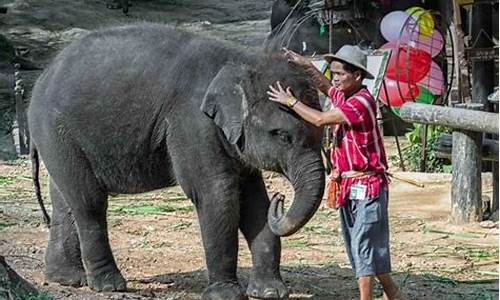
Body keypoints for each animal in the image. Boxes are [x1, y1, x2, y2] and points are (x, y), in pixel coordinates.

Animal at [28, 23, 324, 300]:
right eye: (283, 135)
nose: (281, 198)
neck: (241, 60)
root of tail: (42, 77)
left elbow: (254, 200)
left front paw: (270, 292)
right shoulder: (191, 122)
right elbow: (216, 194)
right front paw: (226, 295)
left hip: (59, 139)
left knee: (64, 199)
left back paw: (67, 278)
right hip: (56, 130)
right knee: (88, 201)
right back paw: (108, 284)